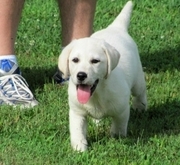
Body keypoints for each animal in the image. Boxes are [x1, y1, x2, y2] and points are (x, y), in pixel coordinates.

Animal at [58, 0, 147, 151]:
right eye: (75, 60)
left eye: (95, 61)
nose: (81, 75)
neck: (98, 93)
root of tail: (116, 28)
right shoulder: (77, 112)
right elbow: (77, 131)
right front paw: (79, 148)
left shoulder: (122, 110)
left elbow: (119, 126)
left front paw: (117, 138)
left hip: (137, 81)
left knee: (140, 91)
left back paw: (140, 106)